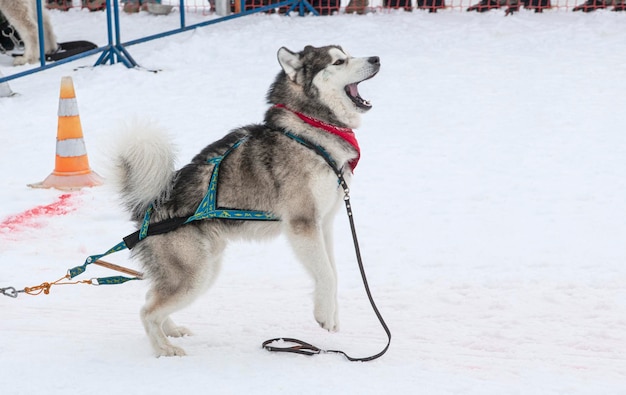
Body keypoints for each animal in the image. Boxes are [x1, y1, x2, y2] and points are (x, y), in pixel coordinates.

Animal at [114, 46, 380, 358]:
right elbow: (326, 273)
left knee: (150, 297)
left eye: (347, 53)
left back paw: (172, 330)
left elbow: (332, 271)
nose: (376, 59)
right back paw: (164, 349)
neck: (310, 128)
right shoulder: (302, 223)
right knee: (146, 311)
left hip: (204, 268)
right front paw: (324, 315)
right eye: (339, 61)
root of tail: (148, 207)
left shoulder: (323, 223)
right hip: (194, 274)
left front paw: (330, 312)